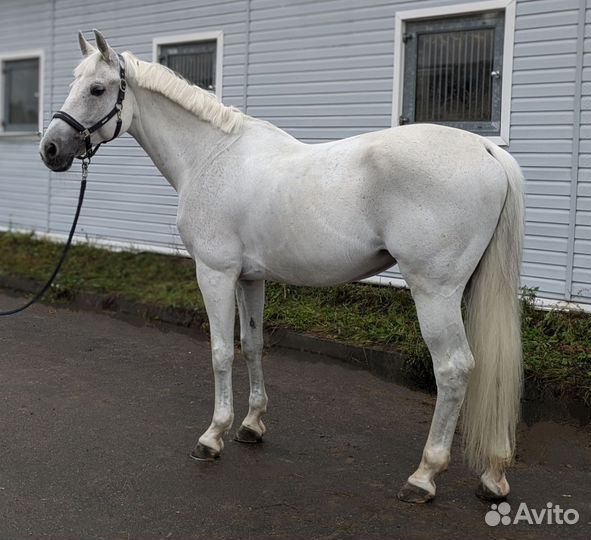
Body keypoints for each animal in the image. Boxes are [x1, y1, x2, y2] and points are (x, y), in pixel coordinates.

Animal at [39, 31, 524, 504]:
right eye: (74, 82)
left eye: (97, 89)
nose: (50, 149)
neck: (211, 156)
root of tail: (486, 149)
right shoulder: (250, 278)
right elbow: (252, 345)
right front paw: (251, 425)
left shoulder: (215, 273)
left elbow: (219, 352)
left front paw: (212, 436)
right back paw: (493, 476)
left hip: (434, 291)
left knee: (454, 369)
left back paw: (424, 476)